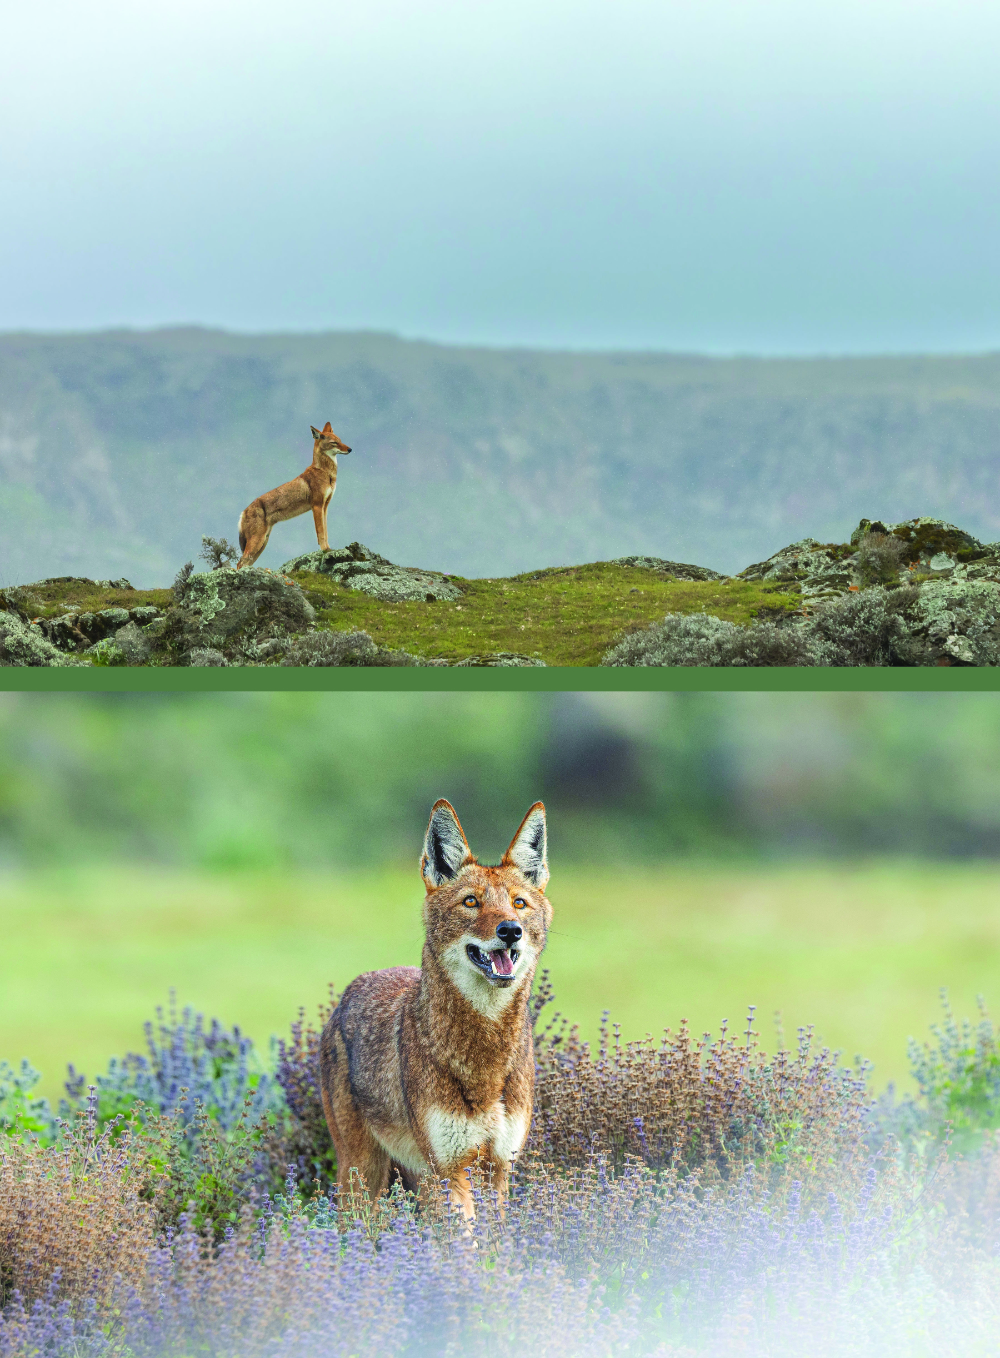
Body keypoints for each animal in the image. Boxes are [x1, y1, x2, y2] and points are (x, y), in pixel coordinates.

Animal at [237, 422, 352, 568]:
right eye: (334, 443)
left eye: (340, 440)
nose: (350, 449)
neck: (325, 472)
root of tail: (243, 512)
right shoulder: (317, 506)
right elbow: (320, 533)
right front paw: (325, 550)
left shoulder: (325, 507)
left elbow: (325, 532)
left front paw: (329, 549)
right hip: (257, 542)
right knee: (239, 563)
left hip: (261, 544)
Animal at [319, 799, 551, 1219]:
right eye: (471, 901)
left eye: (518, 903)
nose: (510, 930)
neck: (483, 1061)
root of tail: (354, 986)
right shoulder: (450, 1170)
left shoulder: (498, 1169)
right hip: (364, 1175)